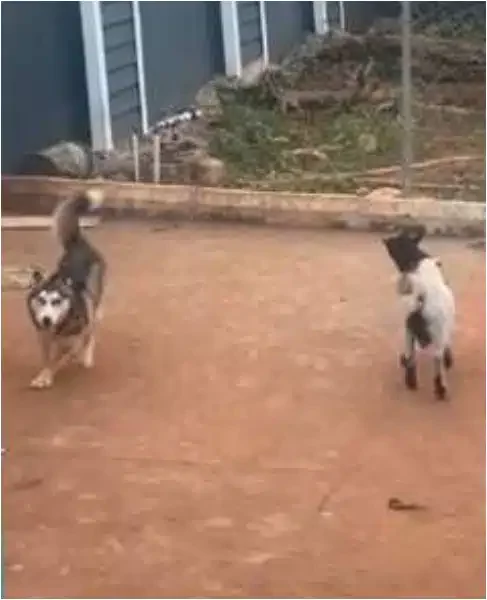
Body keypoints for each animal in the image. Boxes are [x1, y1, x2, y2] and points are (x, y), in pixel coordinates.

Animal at [26, 190, 106, 392]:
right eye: (41, 300)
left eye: (56, 301)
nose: (46, 319)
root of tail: (79, 242)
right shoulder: (44, 338)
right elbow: (48, 359)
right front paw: (44, 374)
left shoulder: (73, 340)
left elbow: (59, 358)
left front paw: (46, 377)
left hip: (93, 303)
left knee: (91, 333)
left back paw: (86, 357)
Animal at [386, 225, 458, 398]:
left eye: (397, 241)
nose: (385, 239)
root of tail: (422, 298)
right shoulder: (444, 328)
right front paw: (449, 360)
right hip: (433, 331)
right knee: (436, 357)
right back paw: (440, 389)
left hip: (409, 327)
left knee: (411, 355)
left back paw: (411, 381)